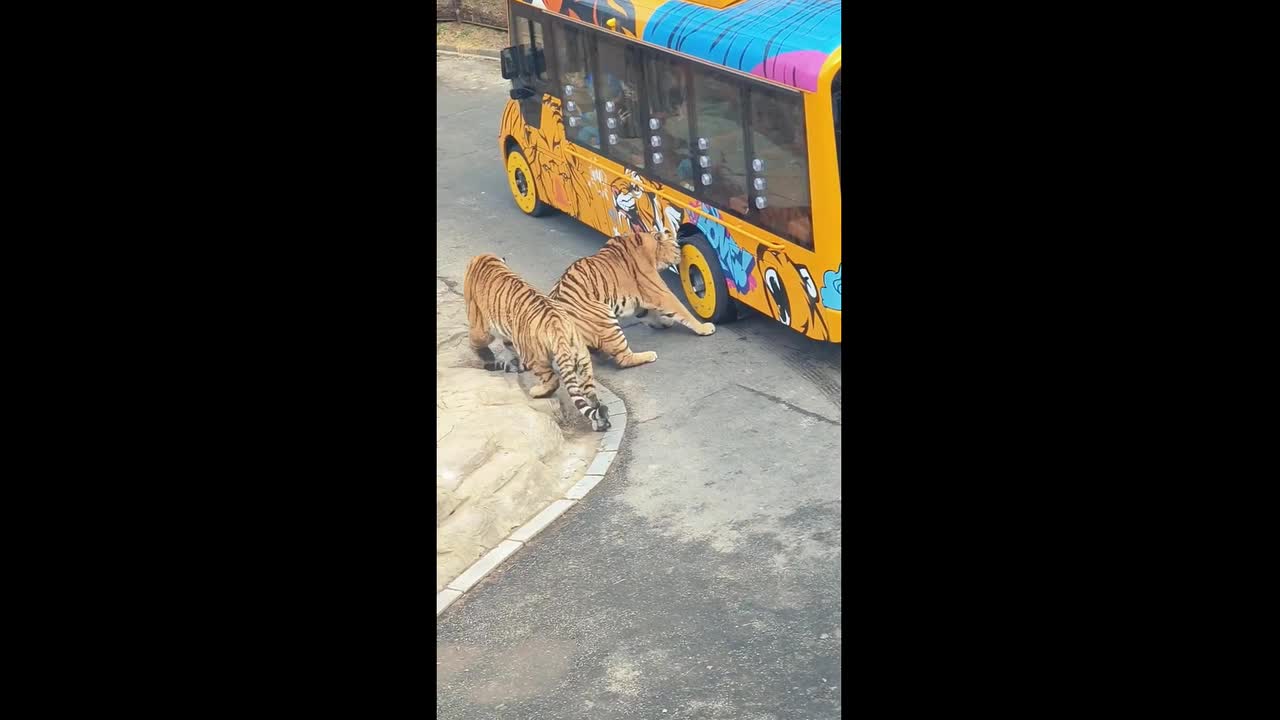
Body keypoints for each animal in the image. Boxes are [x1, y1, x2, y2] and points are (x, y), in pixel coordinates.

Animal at [463, 253, 610, 432]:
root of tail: (559, 327)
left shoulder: (479, 324)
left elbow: (476, 341)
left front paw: (486, 358)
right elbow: (508, 346)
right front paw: (513, 364)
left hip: (536, 357)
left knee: (553, 380)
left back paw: (537, 392)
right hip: (582, 360)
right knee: (591, 396)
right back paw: (601, 422)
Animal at [548, 229, 715, 370]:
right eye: (675, 244)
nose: (681, 252)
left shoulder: (641, 302)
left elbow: (650, 314)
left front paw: (665, 321)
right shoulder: (661, 293)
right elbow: (683, 311)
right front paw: (704, 328)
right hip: (605, 319)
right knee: (623, 359)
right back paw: (648, 355)